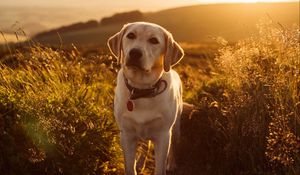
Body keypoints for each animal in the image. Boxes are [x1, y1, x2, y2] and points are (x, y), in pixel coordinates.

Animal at [106, 21, 184, 175]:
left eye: (154, 40)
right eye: (131, 35)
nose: (135, 53)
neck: (142, 90)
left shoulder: (163, 135)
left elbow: (160, 168)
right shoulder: (126, 135)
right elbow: (130, 167)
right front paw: (137, 165)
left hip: (175, 127)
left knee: (173, 146)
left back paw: (172, 164)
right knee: (145, 145)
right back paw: (141, 162)